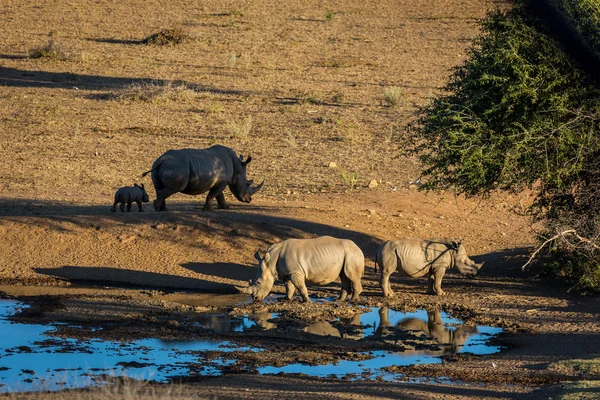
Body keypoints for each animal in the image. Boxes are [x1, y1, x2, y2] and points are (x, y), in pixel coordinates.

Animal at [234, 236, 366, 302]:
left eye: (258, 282)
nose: (255, 298)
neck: (270, 262)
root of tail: (358, 247)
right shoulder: (287, 273)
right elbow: (289, 287)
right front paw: (286, 299)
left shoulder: (295, 272)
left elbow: (301, 287)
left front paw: (307, 301)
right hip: (346, 254)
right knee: (343, 276)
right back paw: (339, 300)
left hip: (352, 254)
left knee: (352, 276)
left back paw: (352, 301)